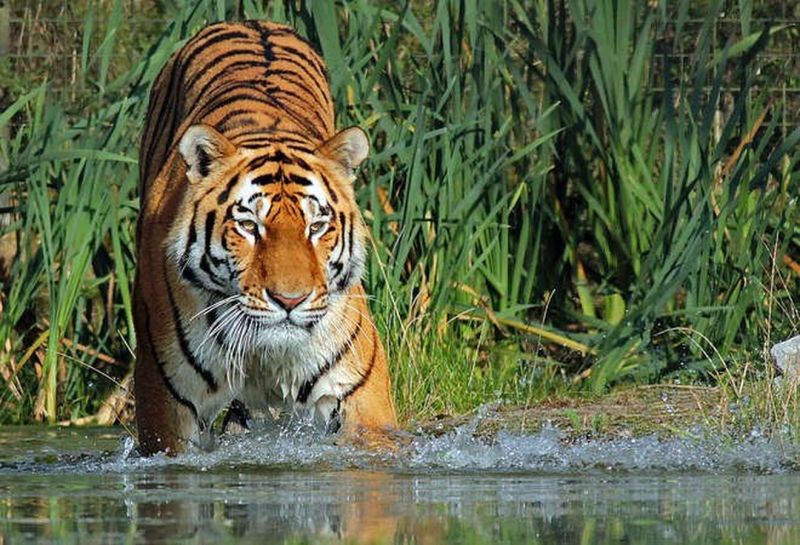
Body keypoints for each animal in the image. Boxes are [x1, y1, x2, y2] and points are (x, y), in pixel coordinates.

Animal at [133, 20, 396, 455]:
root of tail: (247, 21)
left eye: (316, 226)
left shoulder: (360, 397)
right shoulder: (167, 403)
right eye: (249, 226)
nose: (290, 301)